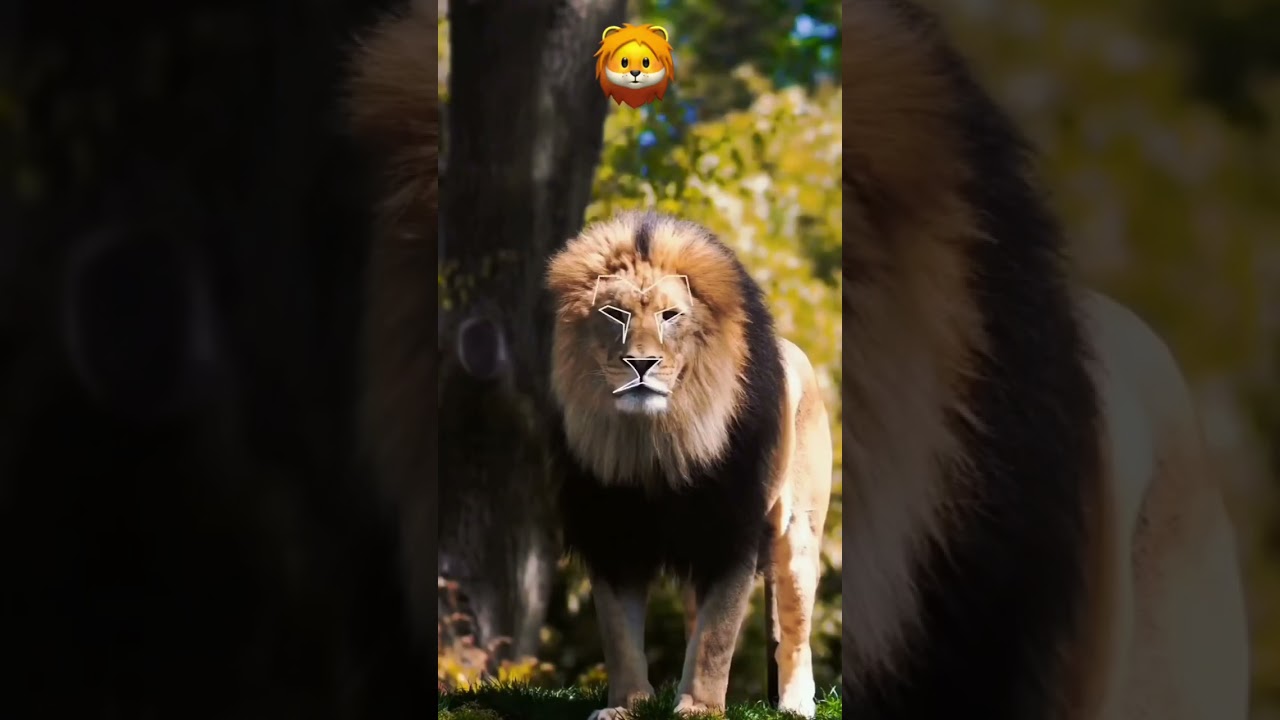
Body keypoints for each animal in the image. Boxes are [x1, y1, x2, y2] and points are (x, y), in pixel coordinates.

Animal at [545, 211, 833, 718]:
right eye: (614, 314)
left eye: (670, 315)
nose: (640, 364)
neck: (655, 441)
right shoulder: (611, 531)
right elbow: (620, 636)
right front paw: (627, 705)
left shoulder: (732, 529)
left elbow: (717, 637)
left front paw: (699, 708)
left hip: (798, 534)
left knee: (794, 631)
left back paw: (796, 703)